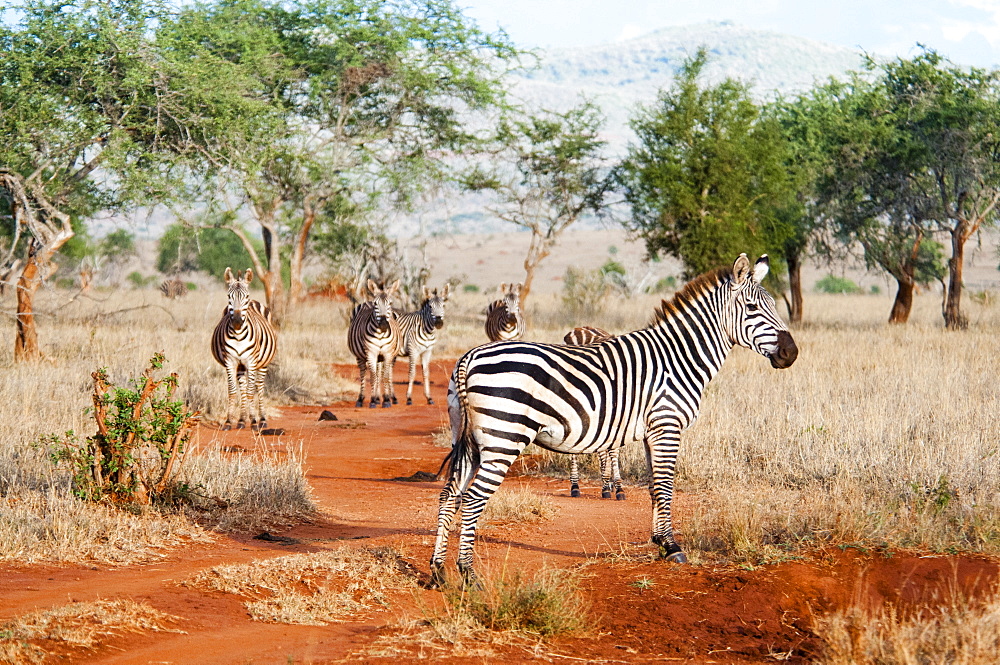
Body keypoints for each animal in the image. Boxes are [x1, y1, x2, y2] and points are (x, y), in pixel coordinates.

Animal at [209, 268, 276, 430]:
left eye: (246, 296)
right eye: (229, 296)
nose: (238, 322)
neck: (239, 335)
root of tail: (255, 302)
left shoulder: (251, 362)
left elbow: (252, 391)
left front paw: (254, 422)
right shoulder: (230, 362)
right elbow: (233, 391)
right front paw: (229, 421)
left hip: (262, 363)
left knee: (259, 386)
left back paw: (261, 419)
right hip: (240, 365)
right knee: (243, 388)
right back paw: (241, 420)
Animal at [348, 278, 402, 408]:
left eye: (390, 303)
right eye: (376, 304)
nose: (383, 325)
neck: (380, 334)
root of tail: (366, 301)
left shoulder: (387, 354)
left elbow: (385, 376)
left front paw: (386, 400)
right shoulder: (371, 353)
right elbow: (372, 377)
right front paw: (372, 400)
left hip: (384, 356)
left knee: (382, 373)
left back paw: (382, 398)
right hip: (360, 356)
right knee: (363, 373)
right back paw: (361, 399)